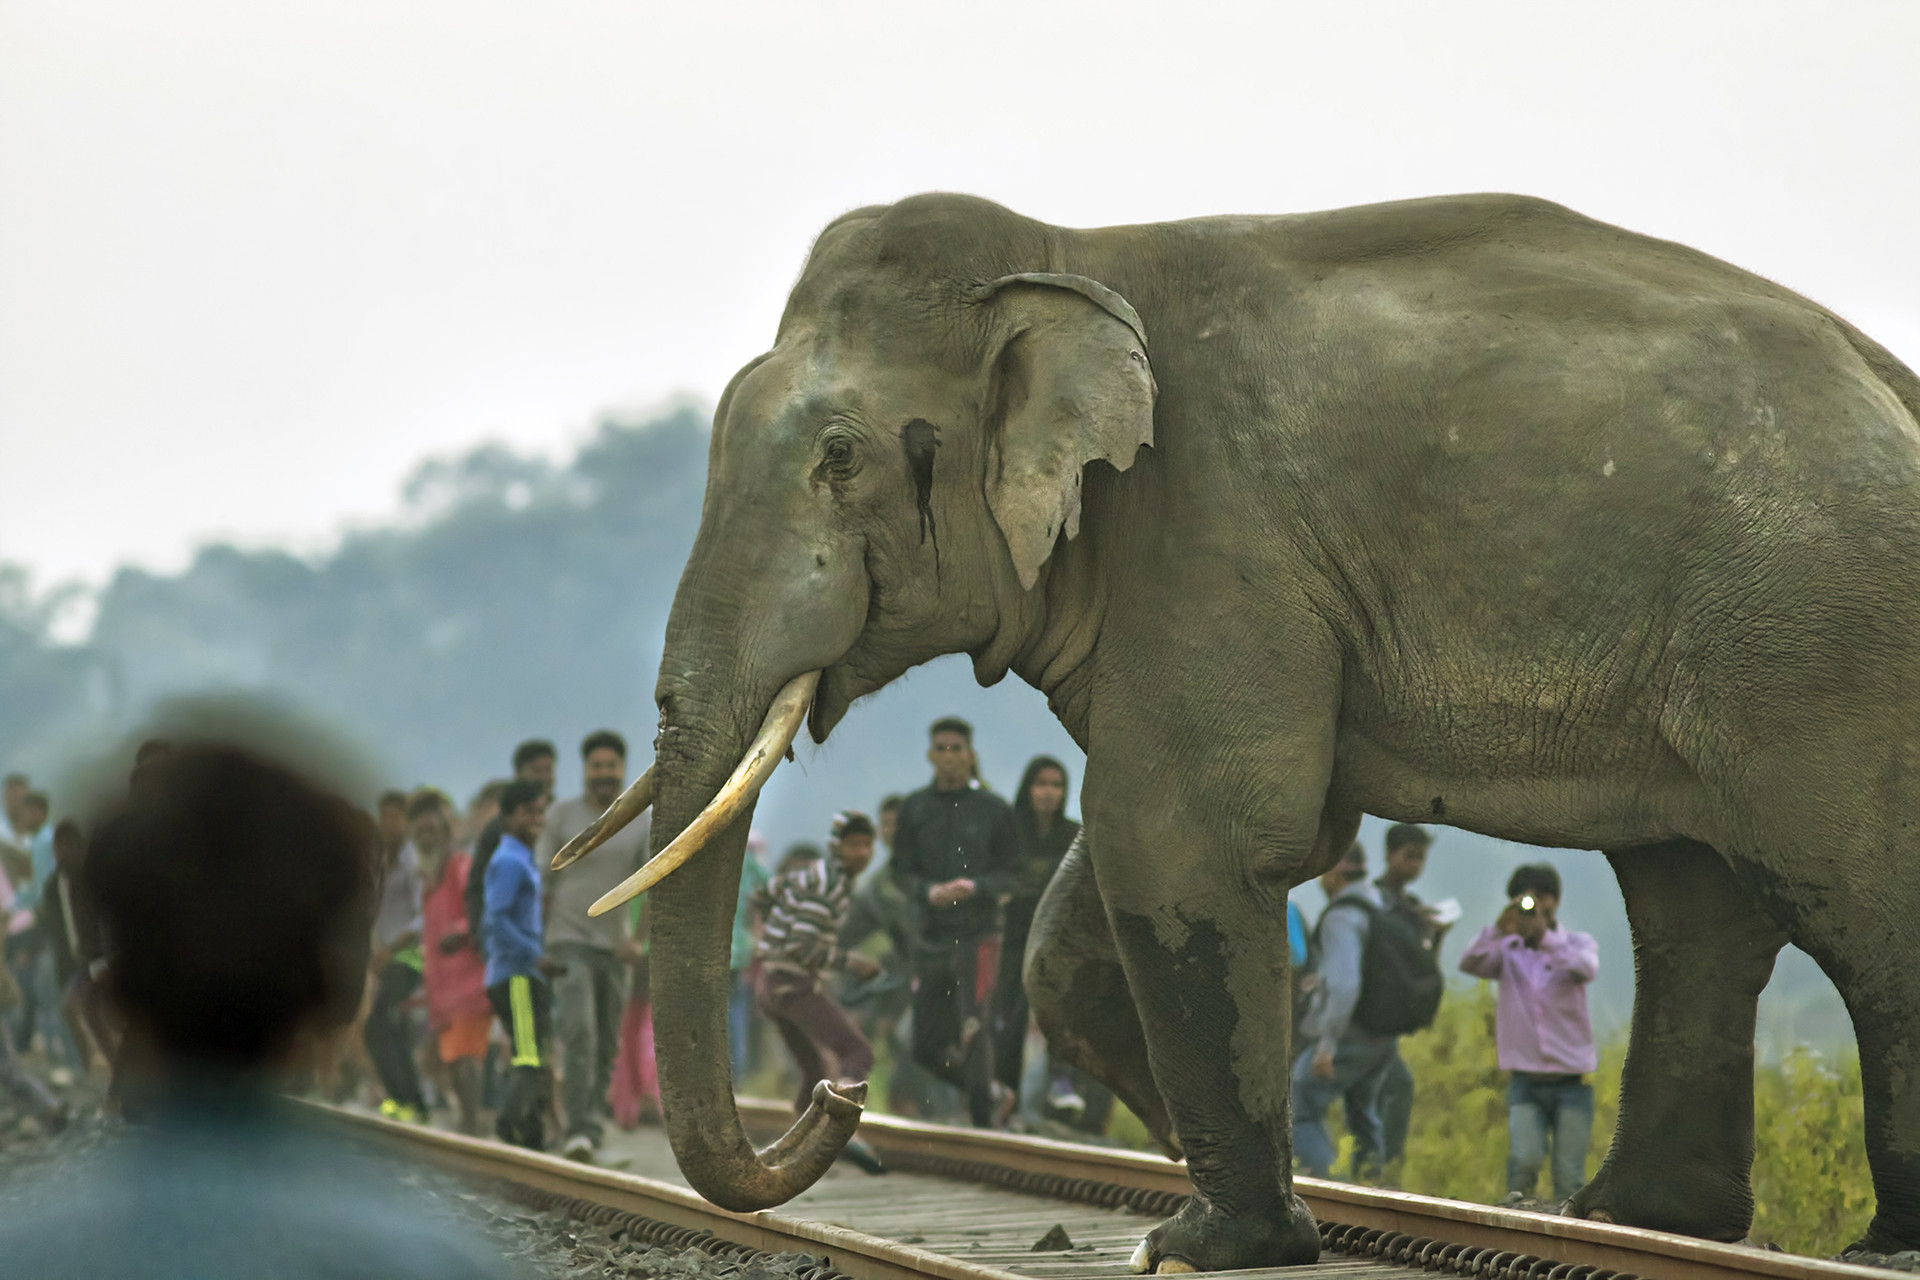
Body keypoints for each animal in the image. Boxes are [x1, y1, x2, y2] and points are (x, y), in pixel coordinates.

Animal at [559, 191, 1920, 1271]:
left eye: (839, 459)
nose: (836, 1095)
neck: (1064, 253)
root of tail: (1891, 378)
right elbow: (1098, 904)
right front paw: (1281, 1207)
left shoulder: (1209, 536)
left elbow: (1179, 834)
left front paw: (1202, 1242)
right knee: (1698, 907)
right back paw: (1633, 1219)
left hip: (1815, 633)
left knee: (1849, 897)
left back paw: (1861, 1242)